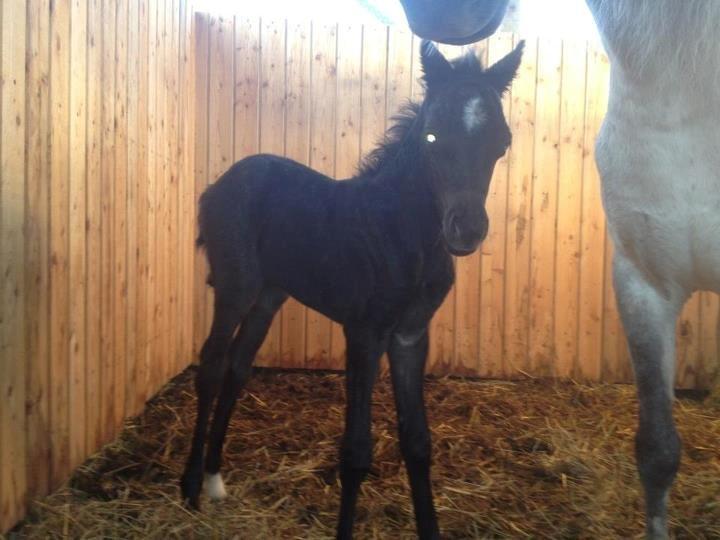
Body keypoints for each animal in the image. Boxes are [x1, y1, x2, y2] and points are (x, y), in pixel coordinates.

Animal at [180, 40, 524, 539]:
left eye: (502, 142)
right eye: (432, 137)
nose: (466, 230)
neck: (404, 234)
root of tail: (219, 183)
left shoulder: (410, 335)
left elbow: (418, 441)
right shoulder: (364, 333)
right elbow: (357, 451)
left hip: (270, 294)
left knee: (238, 366)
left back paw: (214, 478)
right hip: (235, 287)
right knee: (210, 365)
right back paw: (189, 486)